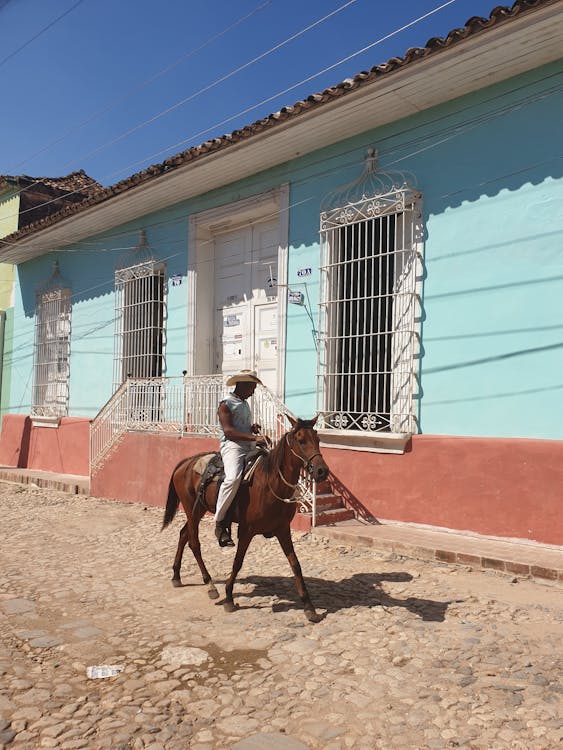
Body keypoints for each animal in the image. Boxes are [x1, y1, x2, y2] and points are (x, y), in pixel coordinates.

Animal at [161, 418, 330, 624]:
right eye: (301, 440)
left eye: (318, 439)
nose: (322, 471)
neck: (270, 482)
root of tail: (185, 463)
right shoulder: (246, 530)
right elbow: (238, 562)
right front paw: (229, 597)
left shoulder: (283, 529)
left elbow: (296, 565)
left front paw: (309, 607)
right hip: (192, 510)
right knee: (194, 543)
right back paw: (210, 584)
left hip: (197, 511)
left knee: (184, 534)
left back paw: (176, 575)